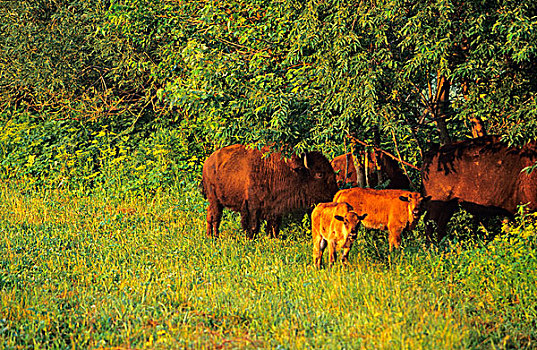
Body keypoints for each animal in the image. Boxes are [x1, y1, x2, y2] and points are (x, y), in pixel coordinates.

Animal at [202, 144, 340, 238]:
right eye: (319, 174)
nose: (334, 194)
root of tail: (208, 162)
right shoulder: (252, 206)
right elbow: (253, 225)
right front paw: (250, 238)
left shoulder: (275, 207)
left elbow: (274, 225)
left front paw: (272, 237)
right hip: (214, 199)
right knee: (214, 216)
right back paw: (213, 236)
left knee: (212, 215)